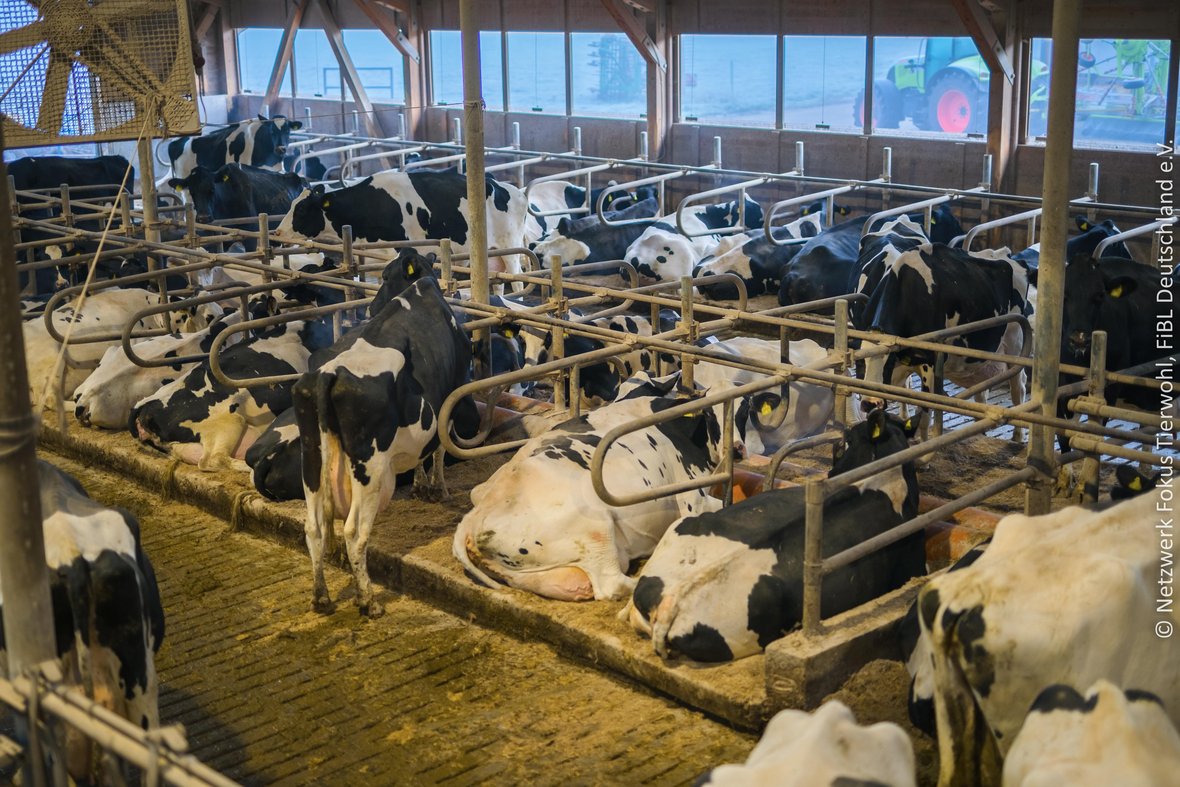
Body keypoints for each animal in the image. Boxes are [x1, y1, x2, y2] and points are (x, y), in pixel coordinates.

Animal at [294, 276, 481, 616]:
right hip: (370, 466)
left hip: (311, 454)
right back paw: (368, 601)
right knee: (354, 532)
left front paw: (421, 486)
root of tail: (328, 373)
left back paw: (321, 597)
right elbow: (438, 447)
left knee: (314, 527)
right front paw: (438, 488)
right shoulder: (450, 394)